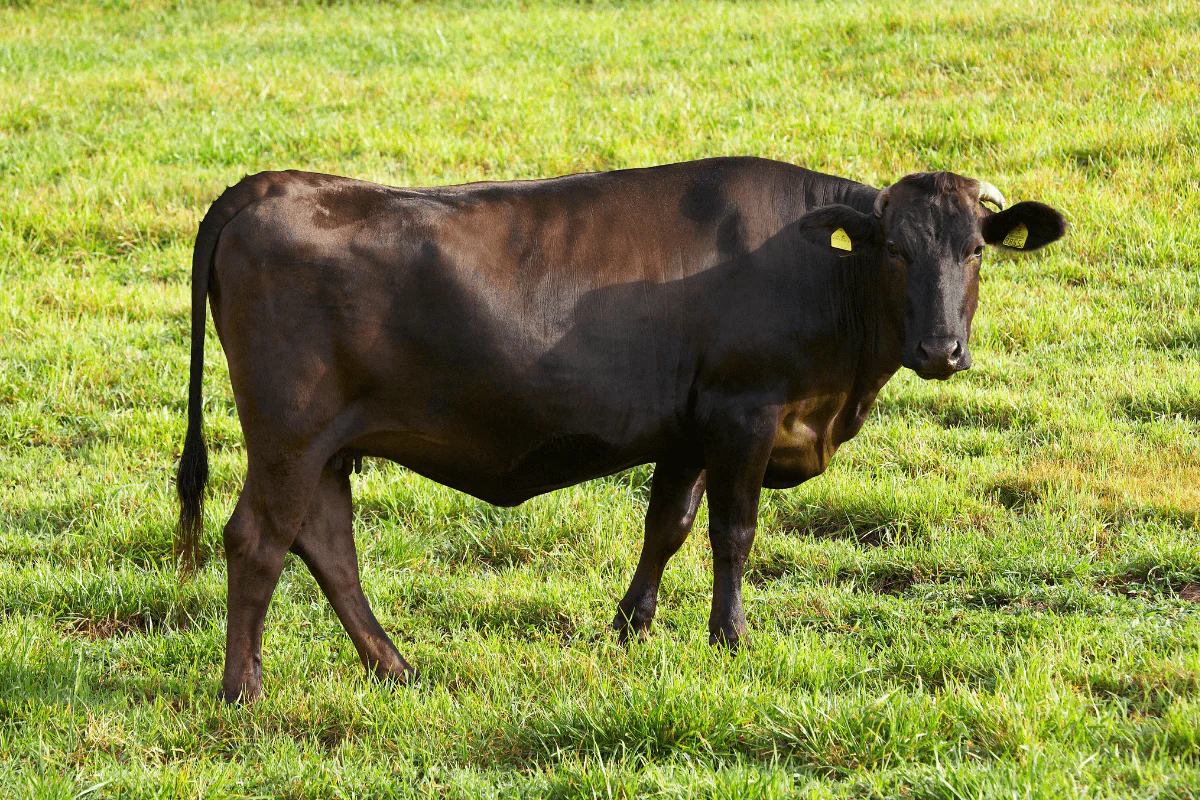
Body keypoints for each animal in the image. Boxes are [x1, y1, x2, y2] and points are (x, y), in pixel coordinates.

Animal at [174, 157, 1066, 701]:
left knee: (327, 546)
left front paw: (629, 628)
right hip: (290, 435)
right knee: (258, 540)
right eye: (897, 253)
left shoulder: (690, 429)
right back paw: (243, 688)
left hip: (326, 446)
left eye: (975, 250)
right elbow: (733, 532)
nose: (941, 349)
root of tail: (271, 184)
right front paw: (729, 638)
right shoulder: (744, 410)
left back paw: (395, 667)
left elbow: (666, 525)